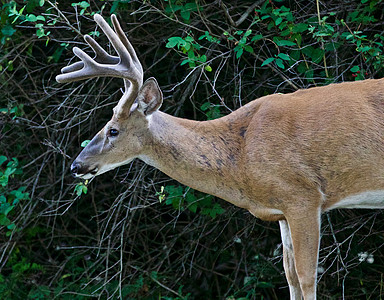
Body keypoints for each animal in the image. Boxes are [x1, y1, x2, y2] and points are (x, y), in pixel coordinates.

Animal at [55, 14, 384, 300]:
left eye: (113, 130)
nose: (75, 165)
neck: (241, 156)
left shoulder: (304, 196)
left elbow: (306, 277)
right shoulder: (281, 210)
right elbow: (289, 276)